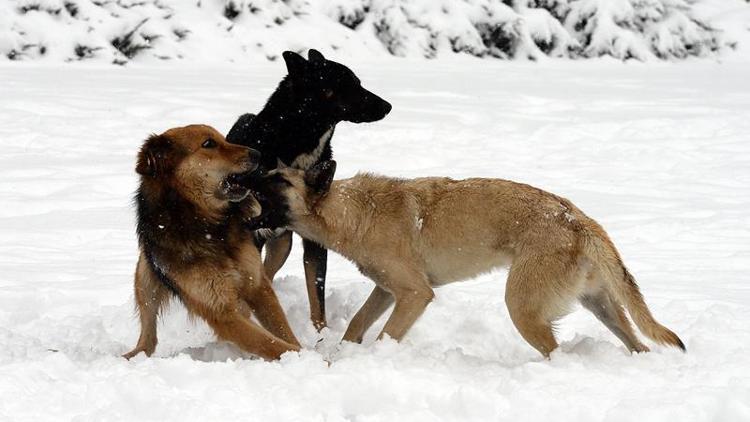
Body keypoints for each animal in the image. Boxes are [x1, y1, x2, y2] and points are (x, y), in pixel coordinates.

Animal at [123, 124, 300, 360]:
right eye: (208, 144)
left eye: (224, 139)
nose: (257, 154)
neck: (208, 225)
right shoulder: (221, 313)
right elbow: (271, 344)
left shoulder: (257, 286)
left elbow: (282, 332)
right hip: (145, 278)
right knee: (148, 333)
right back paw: (135, 354)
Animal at [228, 48, 394, 330]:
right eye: (348, 83)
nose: (387, 106)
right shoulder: (252, 233)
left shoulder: (316, 238)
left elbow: (317, 298)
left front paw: (321, 336)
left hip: (282, 243)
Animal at [251, 161, 688, 356]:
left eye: (277, 178)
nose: (242, 175)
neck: (357, 212)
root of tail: (580, 220)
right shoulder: (389, 290)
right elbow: (358, 323)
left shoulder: (415, 294)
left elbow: (385, 335)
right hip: (601, 306)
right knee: (638, 343)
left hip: (523, 308)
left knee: (556, 352)